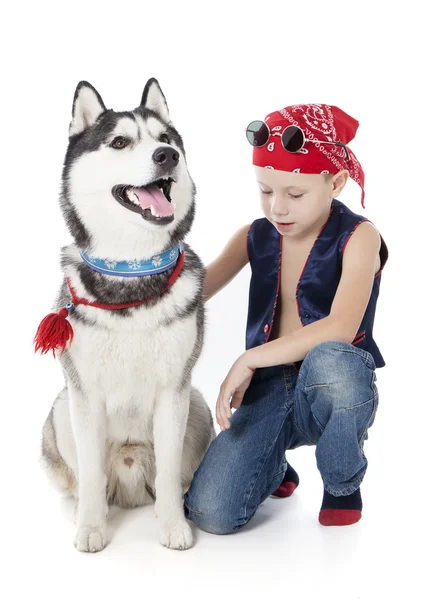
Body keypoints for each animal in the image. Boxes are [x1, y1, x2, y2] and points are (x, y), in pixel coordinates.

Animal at [40, 78, 216, 552]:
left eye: (165, 138)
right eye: (119, 142)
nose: (167, 156)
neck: (131, 271)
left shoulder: (174, 391)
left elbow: (171, 473)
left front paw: (173, 526)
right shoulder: (84, 393)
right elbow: (89, 473)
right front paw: (91, 528)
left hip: (197, 404)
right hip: (62, 408)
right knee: (86, 480)